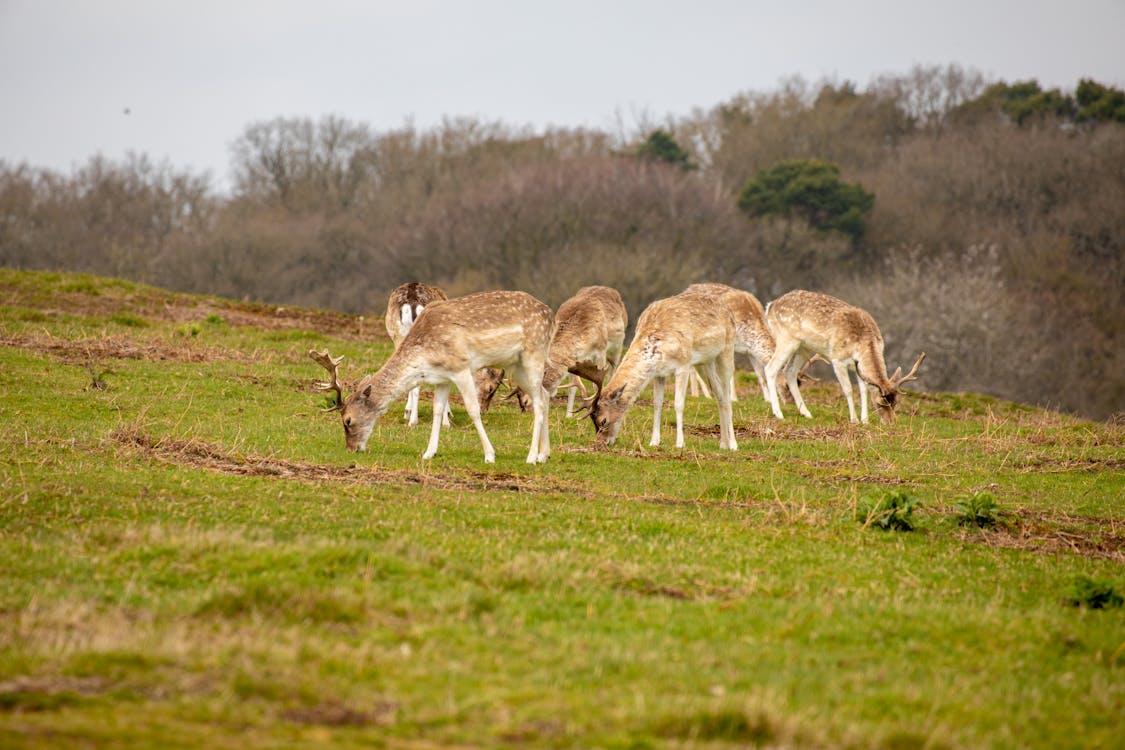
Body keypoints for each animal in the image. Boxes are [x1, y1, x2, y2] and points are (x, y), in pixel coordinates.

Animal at [312, 292, 553, 463]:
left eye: (348, 420)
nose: (351, 449)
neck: (426, 356)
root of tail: (549, 312)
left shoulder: (461, 367)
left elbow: (473, 410)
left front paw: (489, 455)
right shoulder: (442, 378)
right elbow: (438, 410)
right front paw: (429, 453)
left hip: (534, 353)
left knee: (539, 402)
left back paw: (531, 457)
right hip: (516, 366)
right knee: (544, 395)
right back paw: (544, 455)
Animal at [589, 290, 738, 449]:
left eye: (603, 420)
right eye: (592, 421)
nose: (601, 443)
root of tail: (728, 311)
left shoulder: (683, 365)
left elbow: (678, 404)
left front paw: (680, 443)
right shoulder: (659, 373)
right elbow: (657, 404)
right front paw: (654, 441)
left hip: (727, 350)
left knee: (727, 395)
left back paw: (733, 444)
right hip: (705, 362)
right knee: (719, 394)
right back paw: (723, 443)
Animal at [760, 290, 927, 425]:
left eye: (895, 402)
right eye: (880, 403)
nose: (891, 422)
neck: (863, 342)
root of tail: (770, 306)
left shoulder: (858, 367)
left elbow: (863, 390)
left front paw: (865, 420)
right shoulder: (837, 360)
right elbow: (848, 389)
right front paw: (854, 419)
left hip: (803, 347)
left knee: (789, 371)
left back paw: (806, 413)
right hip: (786, 339)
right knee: (770, 368)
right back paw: (778, 413)